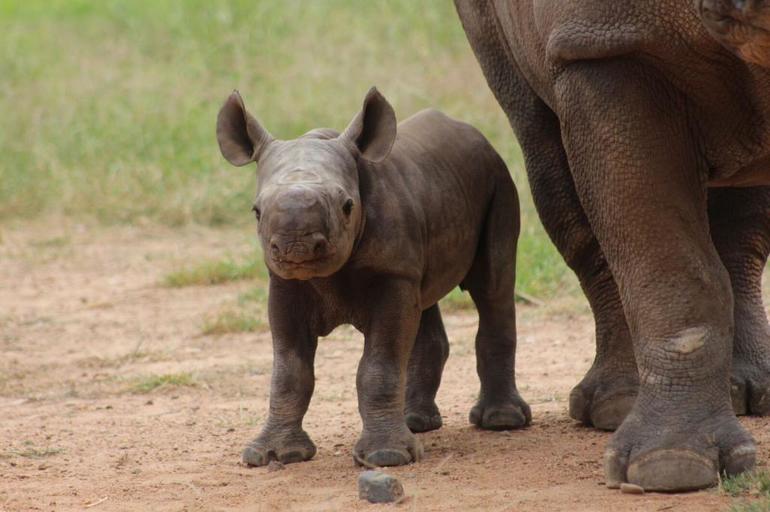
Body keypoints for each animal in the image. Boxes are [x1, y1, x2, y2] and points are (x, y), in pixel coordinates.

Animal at [214, 87, 528, 468]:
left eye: (348, 206)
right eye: (256, 211)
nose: (296, 245)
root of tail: (475, 134)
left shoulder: (392, 274)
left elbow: (379, 366)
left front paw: (387, 457)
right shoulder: (285, 282)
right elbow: (289, 370)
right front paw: (273, 455)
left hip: (499, 178)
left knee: (493, 287)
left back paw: (501, 421)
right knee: (426, 300)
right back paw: (416, 422)